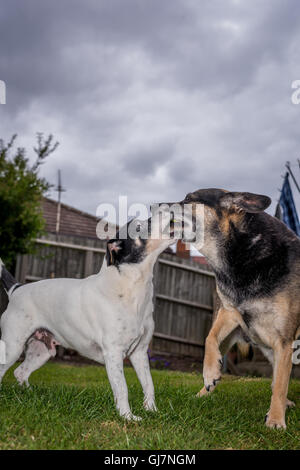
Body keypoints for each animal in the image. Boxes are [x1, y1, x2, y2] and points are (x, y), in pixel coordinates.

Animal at [0, 217, 177, 418]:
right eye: (138, 227)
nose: (171, 216)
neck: (132, 290)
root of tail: (16, 289)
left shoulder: (140, 352)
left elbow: (149, 384)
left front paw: (152, 411)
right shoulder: (114, 353)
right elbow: (122, 388)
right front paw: (127, 417)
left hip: (42, 351)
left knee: (20, 372)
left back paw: (31, 395)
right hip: (12, 347)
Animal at [171, 189, 300, 428]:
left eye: (190, 199)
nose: (152, 207)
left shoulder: (284, 340)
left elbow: (280, 384)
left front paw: (276, 420)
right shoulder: (230, 311)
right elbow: (209, 338)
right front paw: (210, 374)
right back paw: (202, 393)